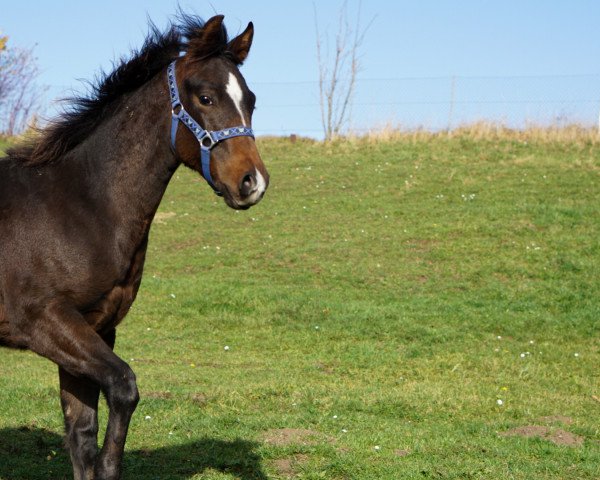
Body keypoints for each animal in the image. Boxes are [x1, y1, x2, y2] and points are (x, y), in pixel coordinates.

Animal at [0, 13, 270, 478]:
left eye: (250, 100)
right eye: (206, 97)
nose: (252, 183)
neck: (79, 203)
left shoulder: (97, 328)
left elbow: (82, 435)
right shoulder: (45, 321)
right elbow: (123, 390)